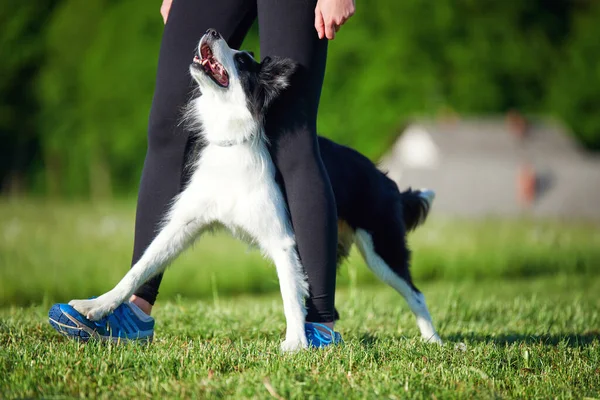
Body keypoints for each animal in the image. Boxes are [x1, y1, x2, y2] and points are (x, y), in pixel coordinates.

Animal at [69, 28, 440, 350]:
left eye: (243, 60)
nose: (212, 31)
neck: (231, 143)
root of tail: (386, 179)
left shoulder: (282, 239)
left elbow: (290, 295)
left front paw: (295, 345)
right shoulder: (183, 225)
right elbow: (140, 267)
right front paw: (94, 307)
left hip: (382, 250)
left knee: (416, 293)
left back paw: (434, 341)